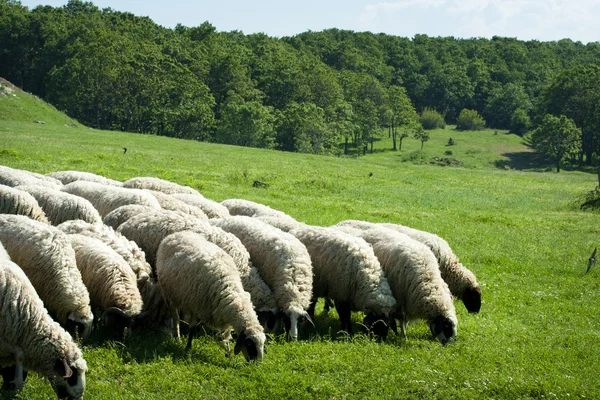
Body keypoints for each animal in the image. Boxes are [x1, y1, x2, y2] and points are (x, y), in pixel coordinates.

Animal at [157, 230, 264, 360]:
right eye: (249, 344)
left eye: (262, 344)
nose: (257, 363)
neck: (229, 289)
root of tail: (176, 234)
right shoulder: (196, 305)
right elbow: (192, 328)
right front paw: (187, 348)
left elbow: (224, 335)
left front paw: (229, 354)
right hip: (169, 294)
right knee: (176, 317)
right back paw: (177, 337)